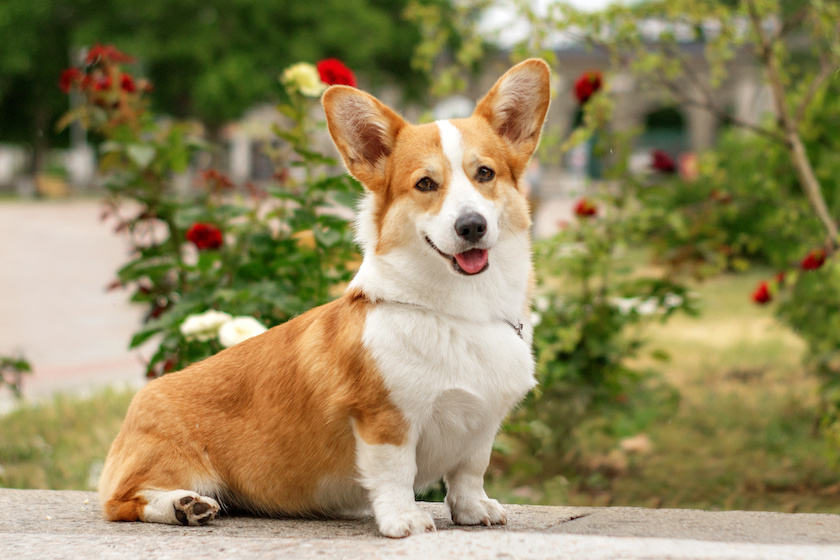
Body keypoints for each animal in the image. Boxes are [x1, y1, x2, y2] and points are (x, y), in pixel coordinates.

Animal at [97, 57, 552, 540]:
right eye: (426, 184)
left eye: (485, 173)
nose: (471, 226)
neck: (463, 311)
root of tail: (135, 407)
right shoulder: (384, 420)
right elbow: (396, 473)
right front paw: (404, 520)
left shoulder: (480, 427)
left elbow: (469, 473)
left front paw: (474, 509)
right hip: (163, 465)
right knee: (120, 500)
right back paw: (184, 505)